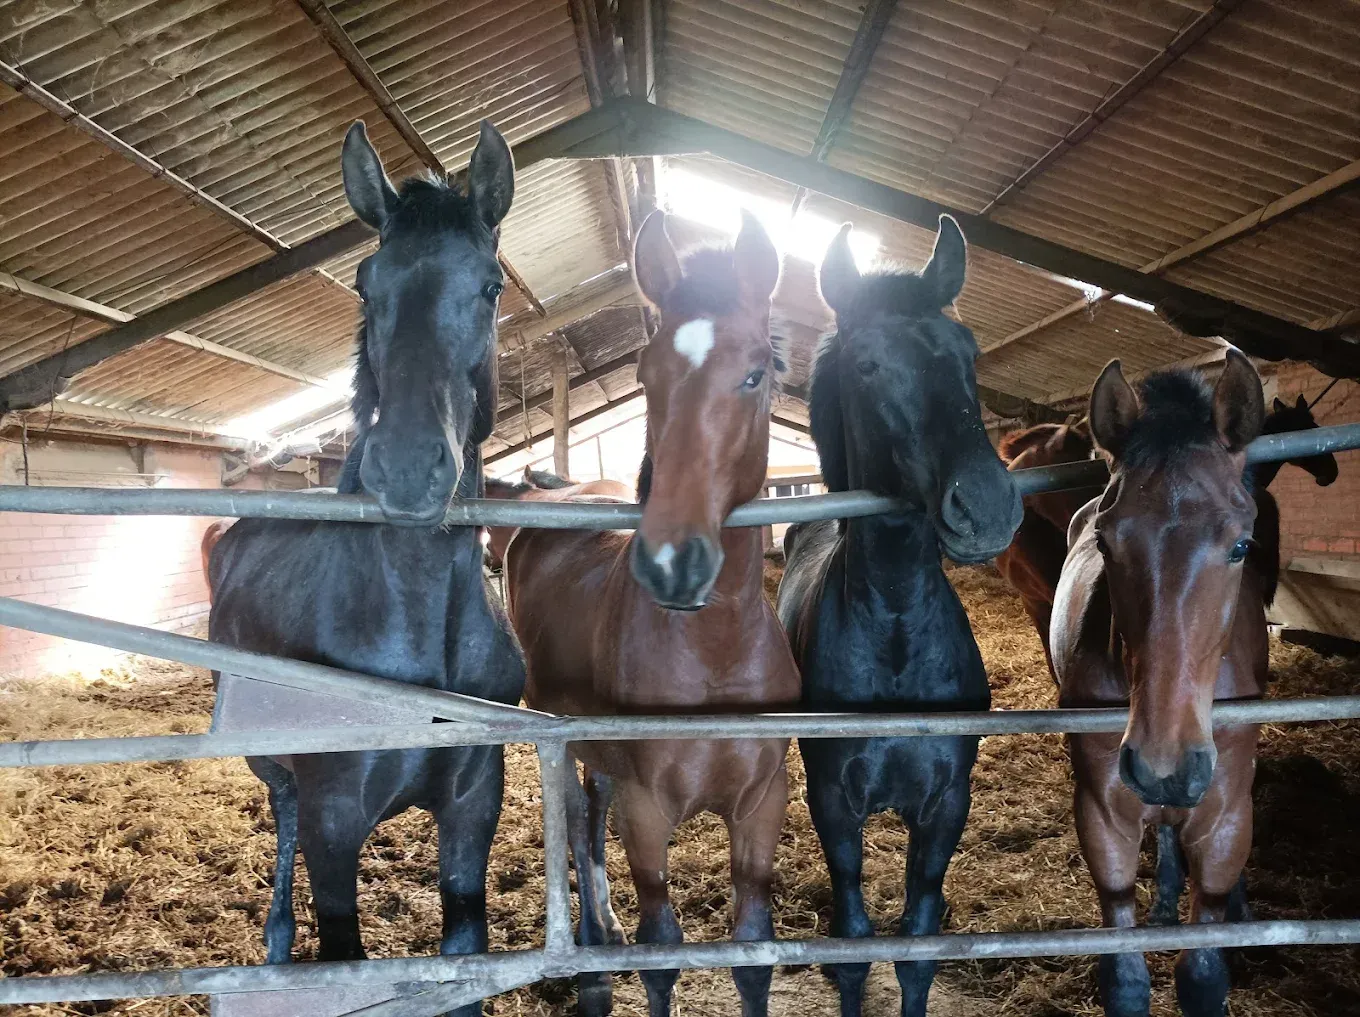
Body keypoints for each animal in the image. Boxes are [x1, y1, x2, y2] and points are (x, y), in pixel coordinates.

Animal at [207, 120, 525, 1016]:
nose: (409, 467)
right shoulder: (334, 821)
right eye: (365, 284)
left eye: (489, 286)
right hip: (279, 776)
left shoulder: (472, 807)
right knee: (279, 824)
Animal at [504, 210, 800, 1017]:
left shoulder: (762, 804)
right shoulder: (647, 809)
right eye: (647, 375)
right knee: (576, 828)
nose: (673, 561)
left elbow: (752, 948)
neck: (716, 649)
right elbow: (661, 947)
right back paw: (592, 958)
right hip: (558, 738)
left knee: (589, 811)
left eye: (758, 370)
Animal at [777, 216, 1023, 1017]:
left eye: (968, 352)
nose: (985, 505)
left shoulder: (946, 804)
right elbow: (856, 942)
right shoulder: (834, 803)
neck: (894, 630)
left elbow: (917, 940)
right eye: (868, 364)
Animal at [1051, 352, 1267, 1017]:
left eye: (1241, 544)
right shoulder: (1103, 820)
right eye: (1105, 542)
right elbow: (1124, 977)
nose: (1164, 765)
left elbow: (1202, 974)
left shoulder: (1224, 822)